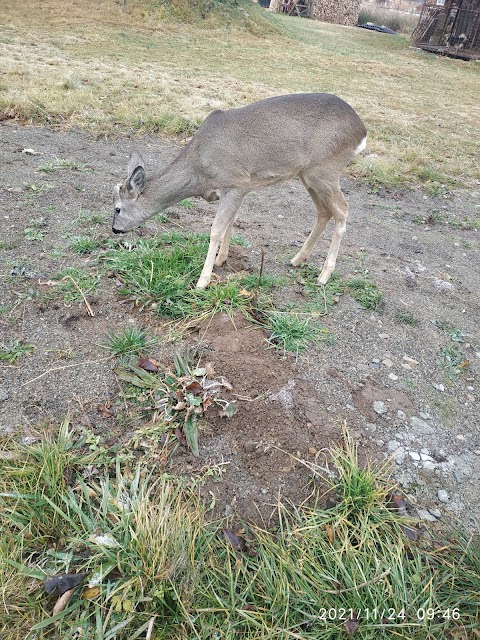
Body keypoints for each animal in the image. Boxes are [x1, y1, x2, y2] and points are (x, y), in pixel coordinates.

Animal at [113, 92, 368, 288]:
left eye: (117, 208)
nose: (115, 230)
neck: (199, 169)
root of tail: (362, 132)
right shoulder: (236, 190)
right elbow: (231, 222)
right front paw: (221, 259)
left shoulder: (236, 182)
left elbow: (216, 229)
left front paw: (203, 280)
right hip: (308, 174)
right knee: (324, 211)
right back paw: (297, 259)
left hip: (325, 169)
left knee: (343, 210)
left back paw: (324, 274)